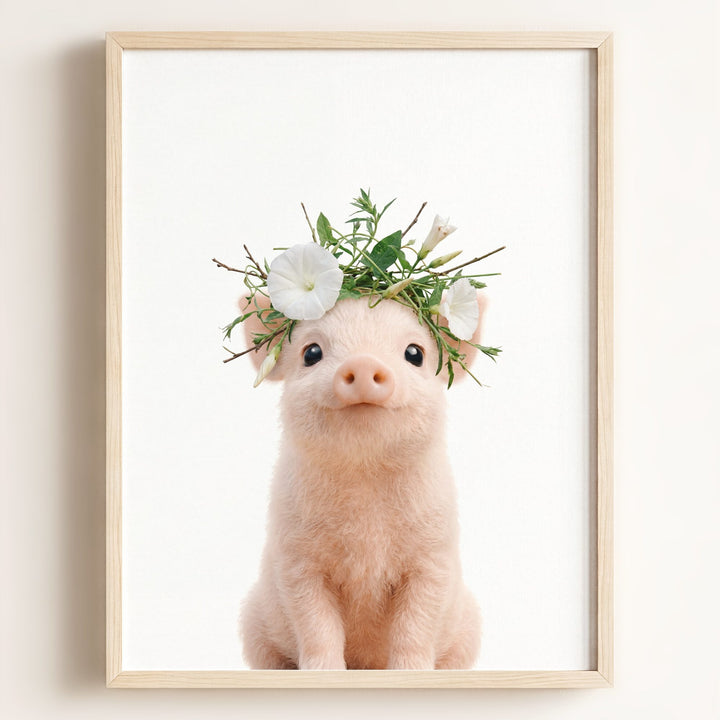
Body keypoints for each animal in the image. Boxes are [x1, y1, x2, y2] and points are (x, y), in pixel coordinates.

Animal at [240, 293, 487, 670]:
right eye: (311, 353)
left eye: (415, 353)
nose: (364, 362)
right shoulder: (296, 559)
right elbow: (315, 622)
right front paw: (323, 671)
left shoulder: (433, 556)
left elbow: (416, 622)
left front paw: (411, 672)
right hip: (252, 623)